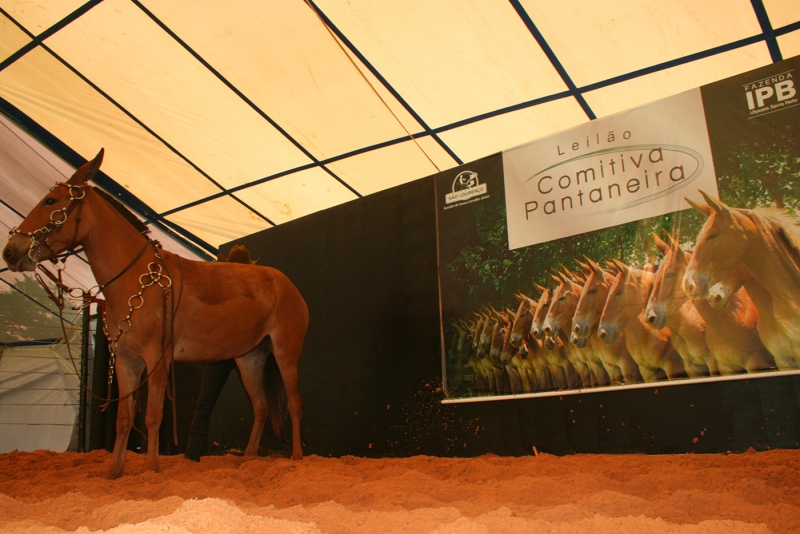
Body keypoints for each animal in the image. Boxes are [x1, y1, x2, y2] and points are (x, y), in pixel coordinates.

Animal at [3, 150, 309, 479]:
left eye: (51, 201)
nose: (10, 252)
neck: (136, 279)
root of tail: (288, 285)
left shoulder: (157, 359)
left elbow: (152, 415)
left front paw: (152, 468)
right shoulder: (126, 361)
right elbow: (124, 418)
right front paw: (114, 471)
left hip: (285, 351)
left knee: (294, 402)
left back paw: (297, 458)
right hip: (249, 357)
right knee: (261, 406)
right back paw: (247, 460)